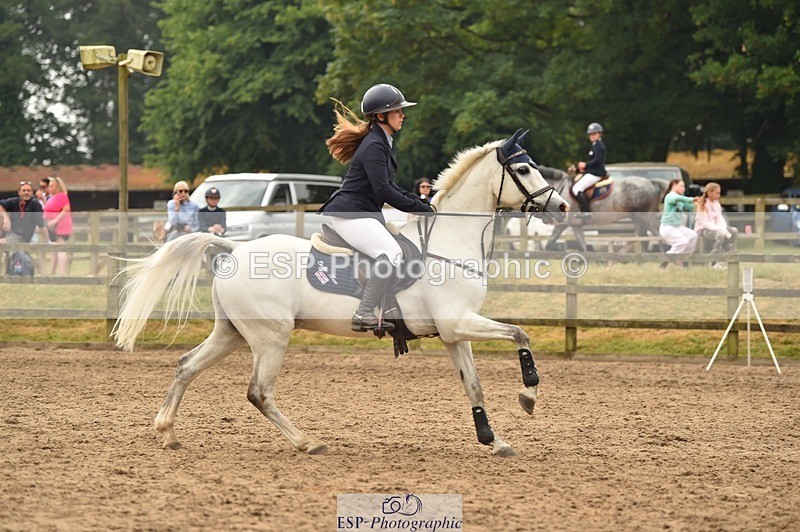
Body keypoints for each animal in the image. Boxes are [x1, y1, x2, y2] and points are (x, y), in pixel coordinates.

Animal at [113, 129, 569, 457]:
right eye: (524, 171)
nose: (562, 207)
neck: (448, 241)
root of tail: (235, 249)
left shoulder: (454, 333)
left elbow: (474, 385)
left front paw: (494, 440)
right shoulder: (460, 323)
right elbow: (520, 334)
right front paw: (528, 394)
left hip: (233, 333)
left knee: (187, 366)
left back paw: (168, 432)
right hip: (270, 337)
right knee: (259, 392)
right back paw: (307, 442)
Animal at [537, 166, 667, 252]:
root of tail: (652, 182)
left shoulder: (563, 224)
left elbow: (549, 243)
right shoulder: (575, 225)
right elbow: (583, 246)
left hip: (645, 217)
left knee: (657, 235)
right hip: (638, 219)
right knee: (644, 238)